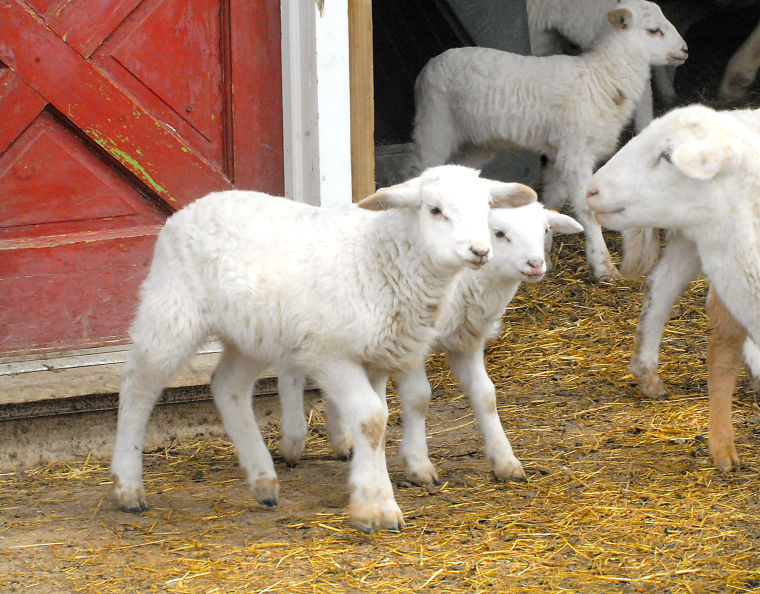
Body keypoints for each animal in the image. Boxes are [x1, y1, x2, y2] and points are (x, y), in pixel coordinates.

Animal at [110, 165, 537, 533]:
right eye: (435, 210)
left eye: (486, 209)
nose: (479, 252)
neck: (377, 259)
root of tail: (190, 208)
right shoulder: (330, 353)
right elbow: (371, 418)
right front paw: (378, 507)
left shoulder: (375, 357)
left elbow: (376, 422)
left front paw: (370, 492)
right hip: (172, 309)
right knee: (138, 385)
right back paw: (128, 486)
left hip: (253, 334)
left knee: (227, 386)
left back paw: (263, 481)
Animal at [276, 203, 583, 485]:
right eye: (499, 233)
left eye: (545, 230)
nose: (536, 264)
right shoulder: (413, 343)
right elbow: (418, 397)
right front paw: (418, 465)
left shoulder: (467, 342)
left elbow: (486, 395)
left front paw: (506, 461)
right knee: (290, 372)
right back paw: (292, 442)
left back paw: (343, 441)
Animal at [410, 1, 687, 281]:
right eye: (653, 30)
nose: (685, 50)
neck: (601, 77)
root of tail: (430, 65)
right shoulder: (577, 153)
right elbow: (587, 210)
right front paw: (603, 267)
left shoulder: (560, 153)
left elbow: (551, 202)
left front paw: (544, 253)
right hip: (435, 122)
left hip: (478, 142)